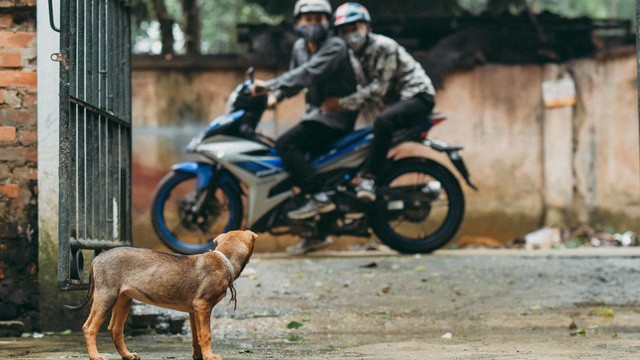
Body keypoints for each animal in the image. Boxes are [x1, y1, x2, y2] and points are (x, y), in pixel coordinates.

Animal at [64, 231, 255, 360]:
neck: (224, 260)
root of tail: (97, 259)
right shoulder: (203, 305)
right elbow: (206, 334)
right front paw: (210, 356)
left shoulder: (193, 310)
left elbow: (196, 335)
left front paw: (199, 356)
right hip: (106, 296)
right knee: (89, 328)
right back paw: (95, 356)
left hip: (123, 300)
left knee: (115, 329)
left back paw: (127, 355)